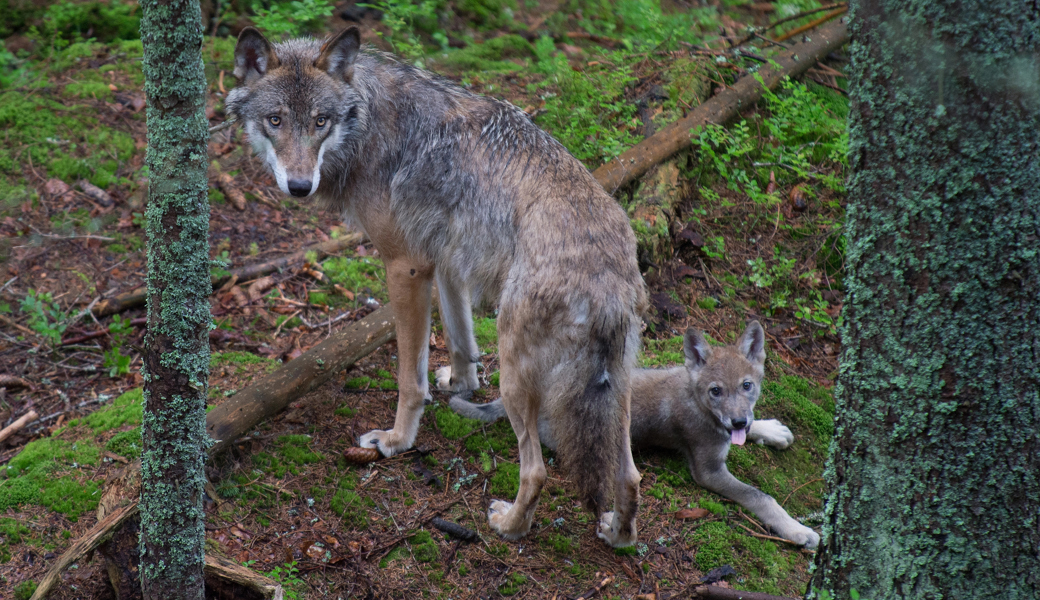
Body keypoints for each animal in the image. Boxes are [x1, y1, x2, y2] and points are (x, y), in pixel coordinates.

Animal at [229, 28, 648, 549]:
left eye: (320, 121)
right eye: (276, 120)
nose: (300, 186)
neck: (367, 123)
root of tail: (607, 275)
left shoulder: (405, 267)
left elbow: (411, 379)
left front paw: (395, 441)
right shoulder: (446, 261)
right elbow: (460, 337)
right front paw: (461, 383)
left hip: (518, 379)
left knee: (536, 472)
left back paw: (509, 525)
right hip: (618, 390)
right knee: (629, 476)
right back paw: (618, 535)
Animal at [447, 322, 819, 549]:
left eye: (747, 386)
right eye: (716, 391)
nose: (738, 420)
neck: (694, 397)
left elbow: (753, 430)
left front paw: (771, 429)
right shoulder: (708, 471)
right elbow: (761, 497)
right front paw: (799, 531)